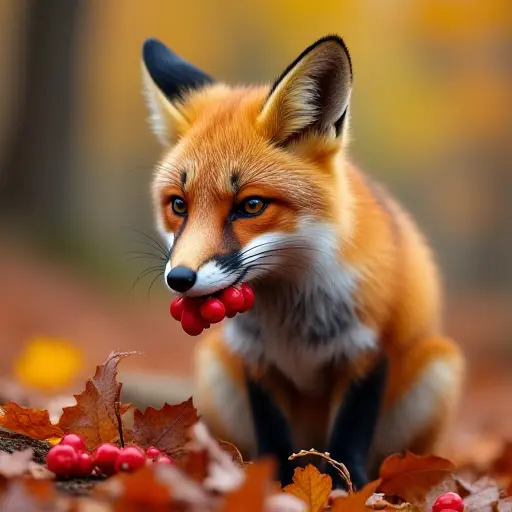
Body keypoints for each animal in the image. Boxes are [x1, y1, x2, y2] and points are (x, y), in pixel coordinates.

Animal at [139, 34, 464, 486]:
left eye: (251, 205)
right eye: (178, 205)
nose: (180, 278)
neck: (292, 314)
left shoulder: (369, 349)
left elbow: (348, 439)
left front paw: (349, 488)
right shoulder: (256, 359)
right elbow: (274, 438)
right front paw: (272, 483)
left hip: (437, 370)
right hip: (215, 369)